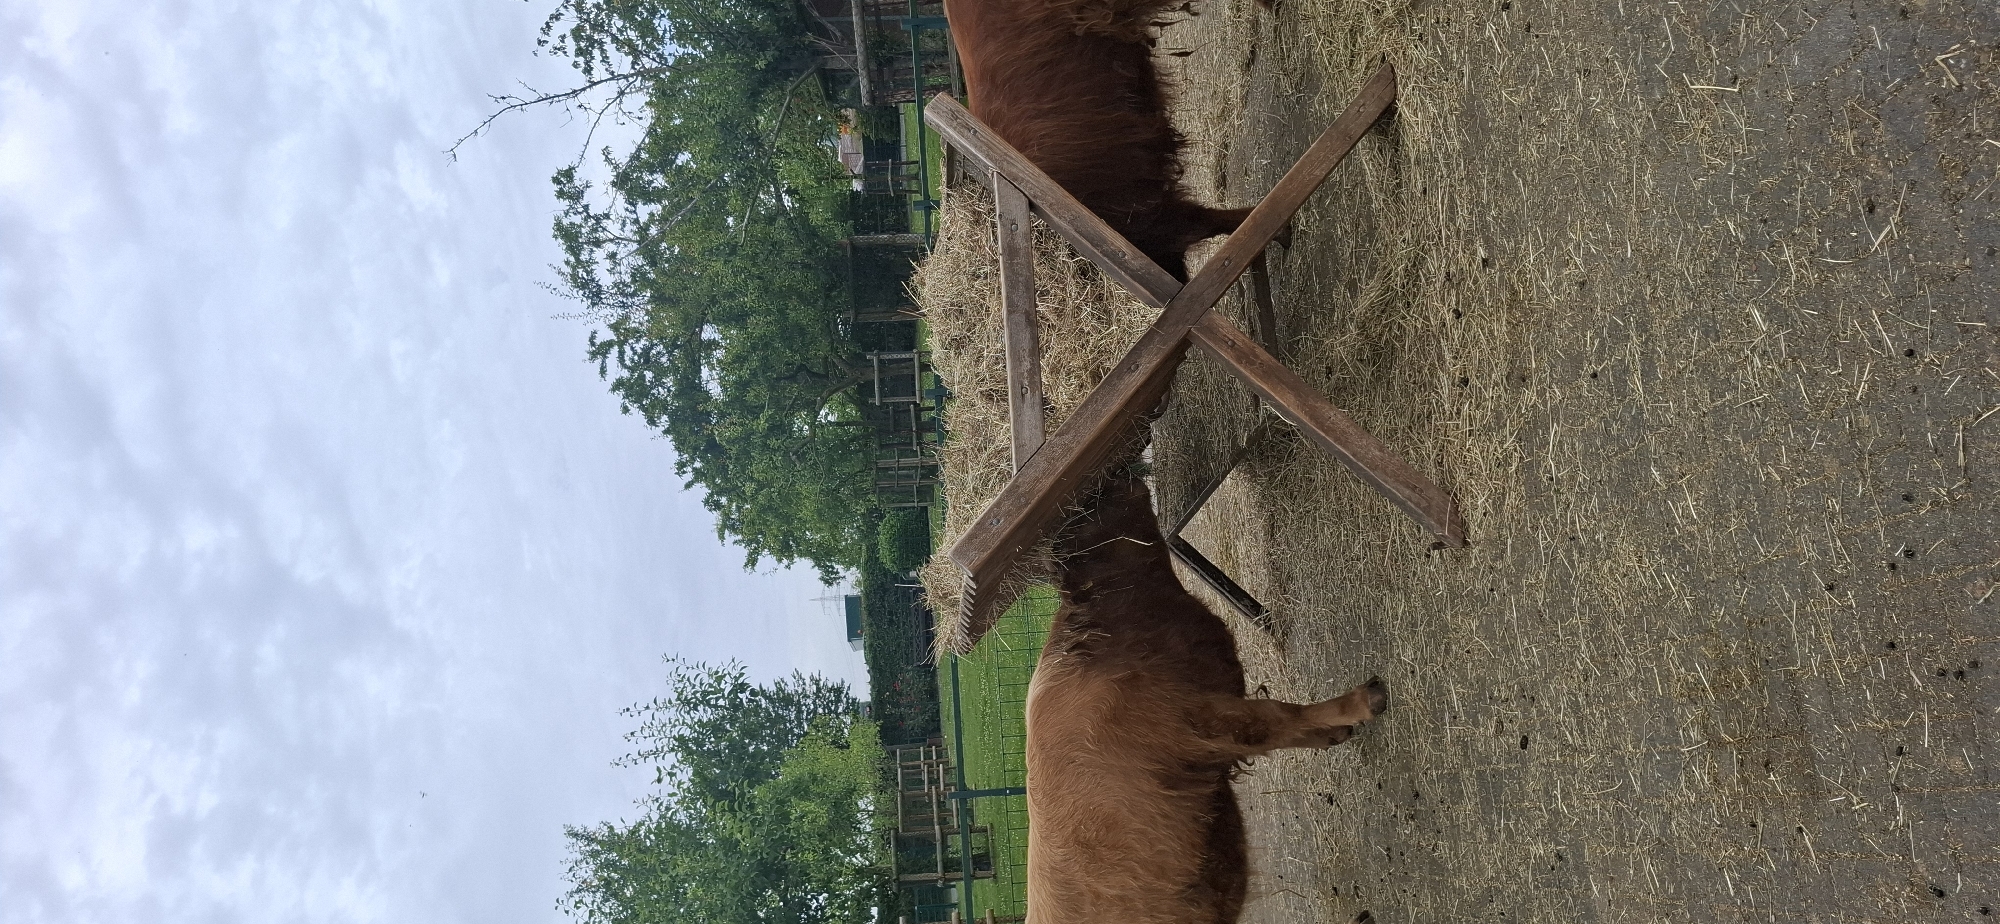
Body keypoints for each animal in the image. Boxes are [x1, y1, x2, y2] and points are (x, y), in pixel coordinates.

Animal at [1026, 473, 1388, 924]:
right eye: (1089, 503)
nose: (1127, 473)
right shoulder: (1201, 721)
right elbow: (1277, 717)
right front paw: (1361, 704)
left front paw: (1333, 733)